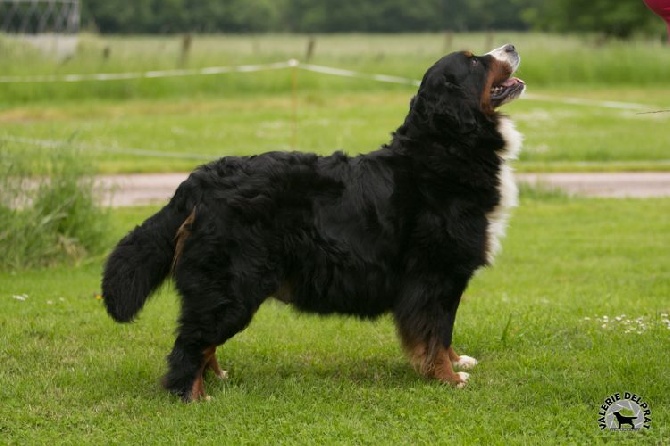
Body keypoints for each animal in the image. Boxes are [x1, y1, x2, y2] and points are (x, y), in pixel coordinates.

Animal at [102, 43, 528, 402]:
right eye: (474, 61)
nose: (510, 46)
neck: (447, 146)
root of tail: (198, 182)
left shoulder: (448, 278)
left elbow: (446, 328)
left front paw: (457, 362)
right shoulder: (433, 274)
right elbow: (433, 332)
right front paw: (447, 377)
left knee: (202, 338)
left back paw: (215, 377)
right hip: (233, 284)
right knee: (190, 342)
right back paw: (192, 395)